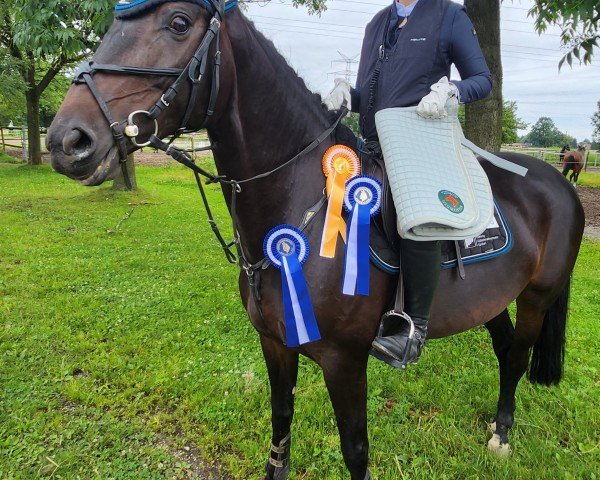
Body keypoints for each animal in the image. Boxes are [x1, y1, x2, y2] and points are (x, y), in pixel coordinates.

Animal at [47, 1, 584, 478]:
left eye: (178, 23)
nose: (67, 141)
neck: (301, 206)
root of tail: (557, 184)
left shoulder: (344, 361)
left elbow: (355, 450)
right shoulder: (275, 344)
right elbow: (280, 426)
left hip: (537, 297)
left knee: (517, 357)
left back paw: (503, 435)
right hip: (491, 301)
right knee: (505, 350)